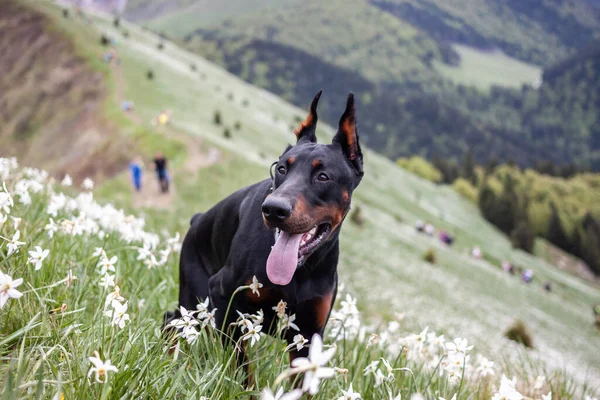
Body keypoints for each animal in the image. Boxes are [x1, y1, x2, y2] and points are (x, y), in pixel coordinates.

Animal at [164, 90, 364, 368]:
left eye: (323, 176)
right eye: (281, 168)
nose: (273, 209)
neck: (298, 272)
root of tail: (198, 219)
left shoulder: (308, 333)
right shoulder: (224, 297)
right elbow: (239, 363)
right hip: (196, 297)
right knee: (173, 320)